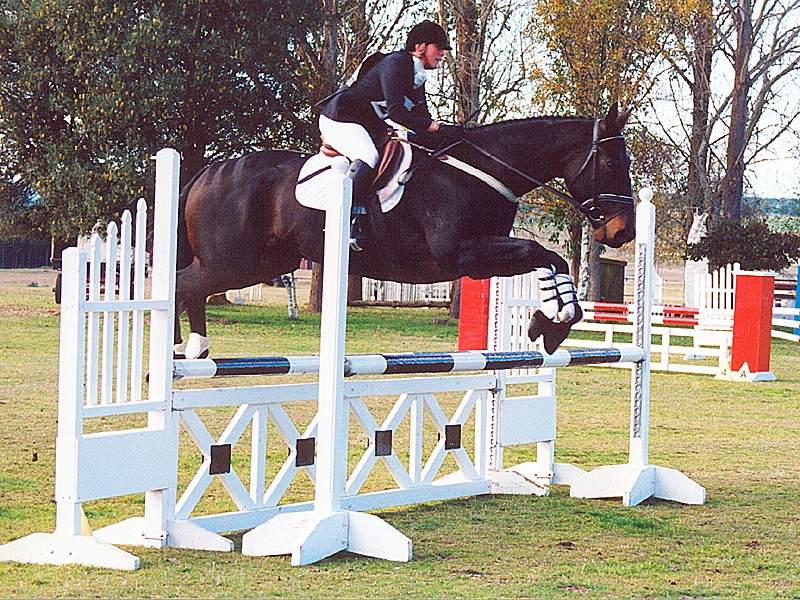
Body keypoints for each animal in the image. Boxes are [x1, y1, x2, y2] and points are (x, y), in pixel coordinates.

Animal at [174, 104, 635, 358]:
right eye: (613, 162)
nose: (622, 232)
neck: (484, 170)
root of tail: (206, 173)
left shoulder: (480, 261)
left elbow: (548, 260)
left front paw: (550, 321)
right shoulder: (463, 254)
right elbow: (545, 253)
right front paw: (551, 322)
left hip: (262, 263)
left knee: (189, 289)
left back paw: (193, 348)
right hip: (233, 264)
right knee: (182, 286)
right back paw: (182, 352)